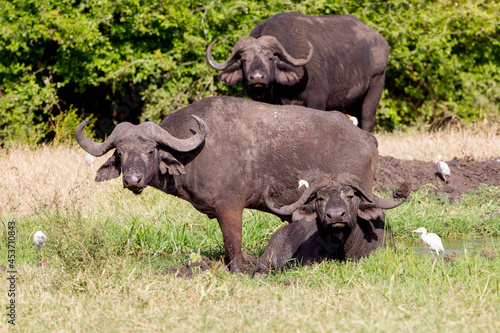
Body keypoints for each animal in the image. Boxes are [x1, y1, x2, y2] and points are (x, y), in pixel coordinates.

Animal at [77, 96, 382, 272]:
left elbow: (233, 245)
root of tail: (366, 138)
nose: (132, 180)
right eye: (120, 152)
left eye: (151, 150)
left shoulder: (230, 208)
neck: (195, 153)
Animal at [207, 11, 390, 131]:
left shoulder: (317, 101)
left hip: (376, 85)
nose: (257, 78)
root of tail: (381, 41)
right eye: (244, 59)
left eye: (271, 57)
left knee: (367, 120)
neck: (285, 89)